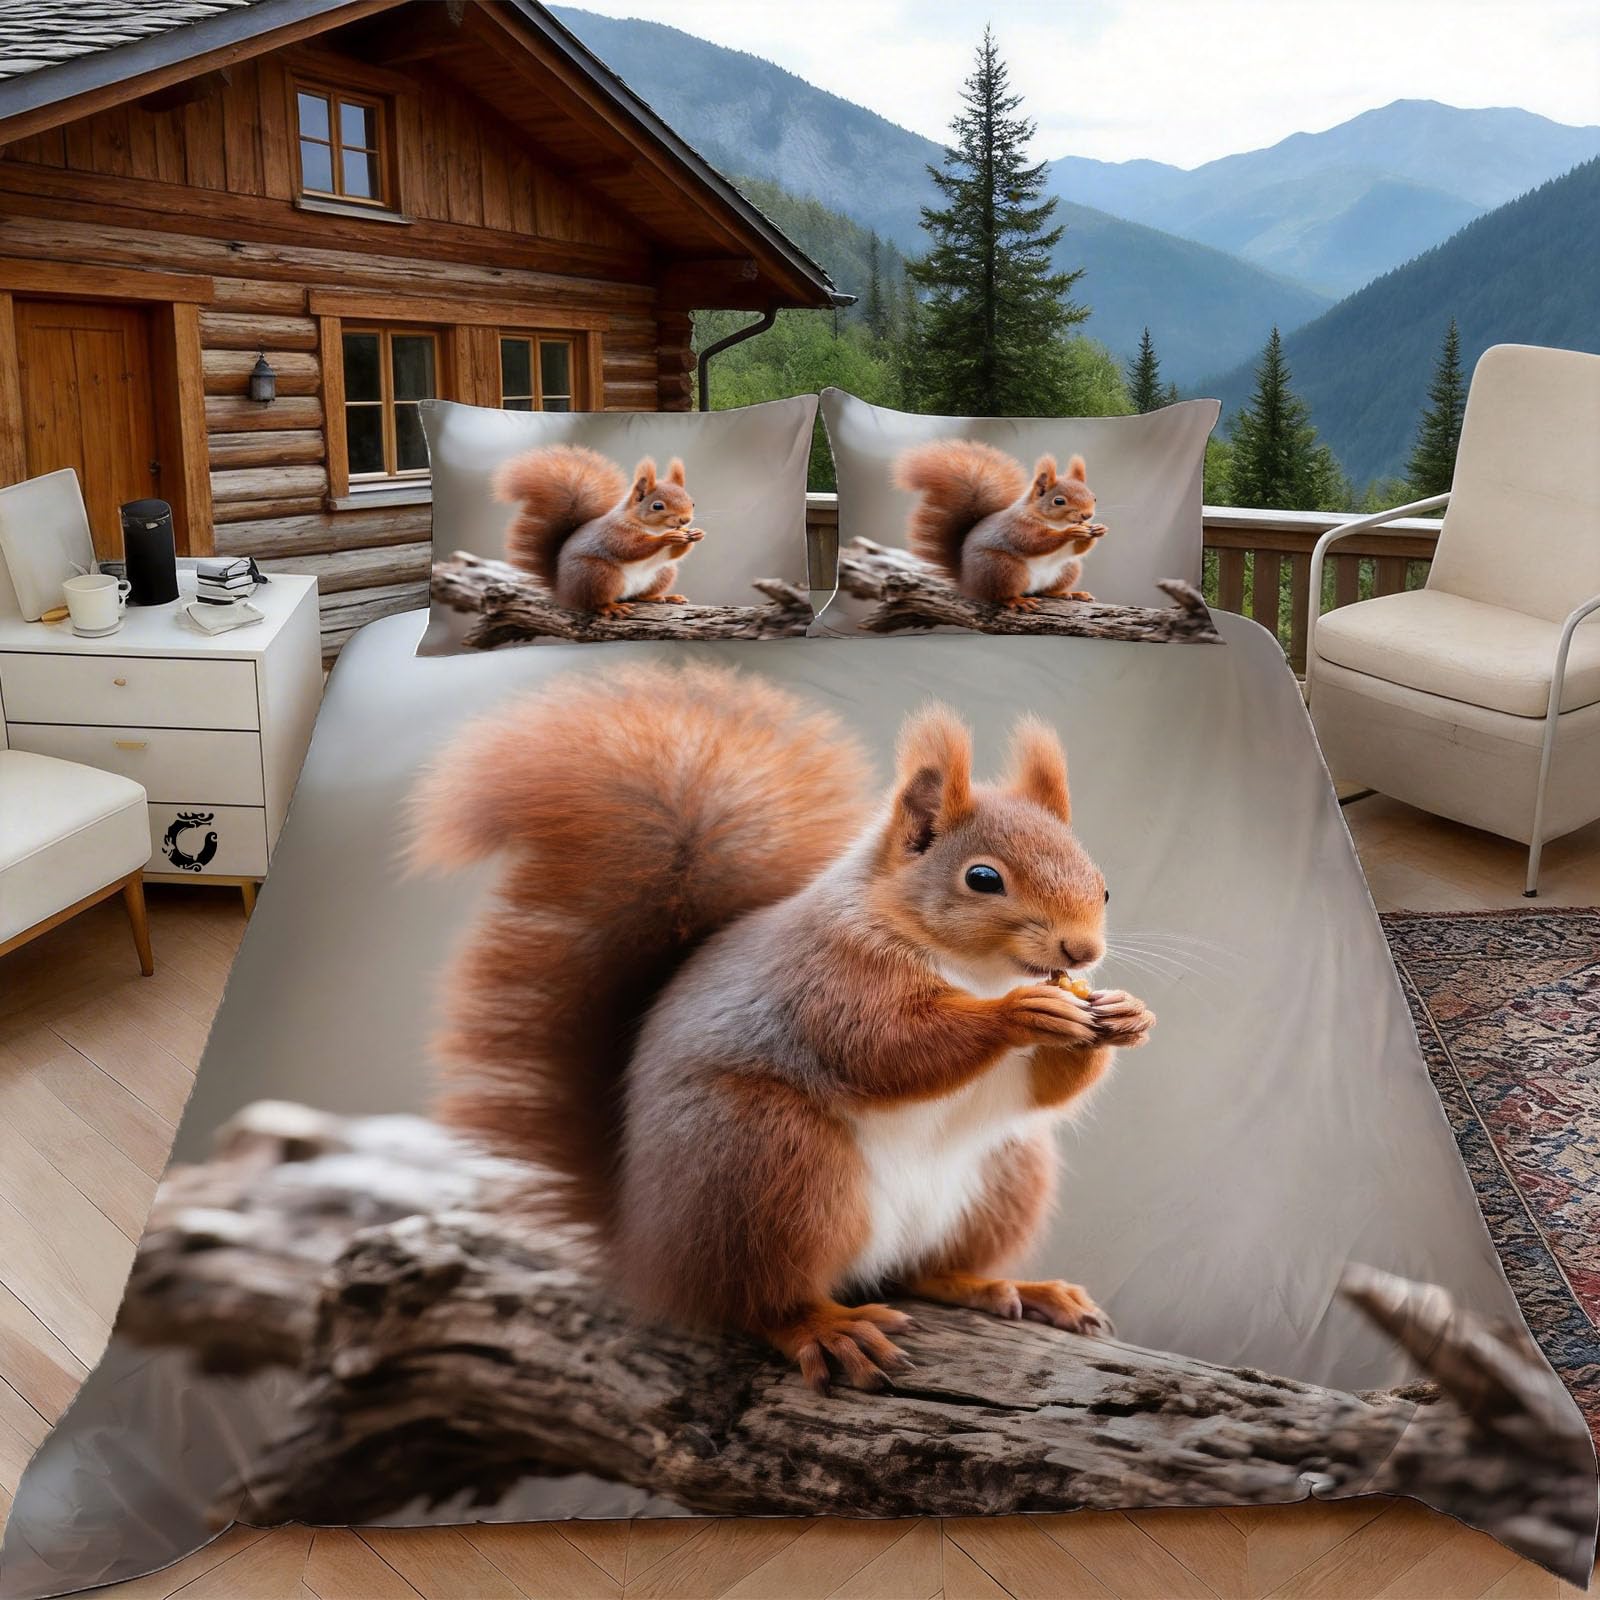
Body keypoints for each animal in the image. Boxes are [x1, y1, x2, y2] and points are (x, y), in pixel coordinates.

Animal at [410, 664, 1153, 1391]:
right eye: (982, 878)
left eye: (1104, 885)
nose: (1081, 951)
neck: (977, 972)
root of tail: (644, 1250)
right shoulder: (826, 981)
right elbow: (885, 1048)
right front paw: (1019, 1013)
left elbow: (1043, 1090)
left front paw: (1125, 1014)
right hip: (770, 1161)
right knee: (756, 1298)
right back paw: (824, 1328)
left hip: (1004, 1170)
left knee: (917, 1270)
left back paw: (1006, 1286)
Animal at [494, 444, 706, 617]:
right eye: (658, 506)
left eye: (692, 502)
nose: (685, 519)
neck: (652, 528)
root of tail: (564, 592)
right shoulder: (613, 534)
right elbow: (631, 549)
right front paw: (667, 537)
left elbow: (673, 554)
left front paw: (695, 534)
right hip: (599, 575)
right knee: (594, 603)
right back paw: (610, 607)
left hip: (663, 572)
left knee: (639, 595)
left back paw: (661, 597)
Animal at [895, 440, 1109, 608]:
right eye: (1059, 501)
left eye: (1094, 497)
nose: (1087, 515)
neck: (1055, 523)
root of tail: (968, 583)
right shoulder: (1016, 528)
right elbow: (1034, 543)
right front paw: (1070, 532)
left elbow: (1076, 550)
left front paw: (1098, 530)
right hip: (1003, 568)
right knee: (1000, 595)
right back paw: (1017, 600)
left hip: (1068, 568)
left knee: (1045, 590)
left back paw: (1067, 593)